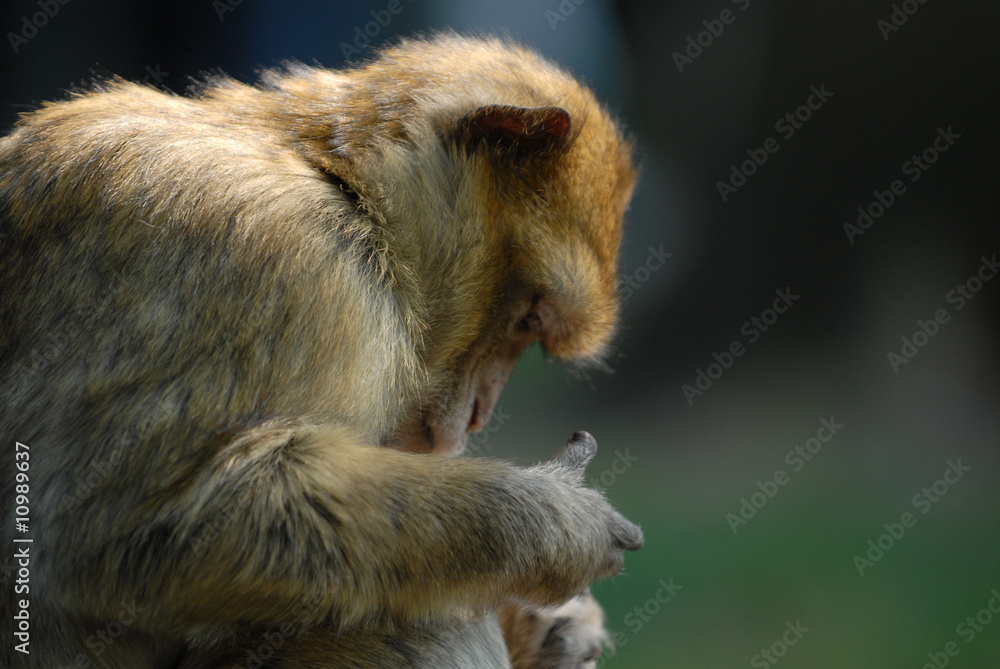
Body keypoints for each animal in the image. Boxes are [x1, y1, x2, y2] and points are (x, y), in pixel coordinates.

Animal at [0, 33, 640, 668]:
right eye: (527, 318)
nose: (480, 413)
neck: (346, 189)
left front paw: (547, 630)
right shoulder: (287, 258)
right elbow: (113, 534)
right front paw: (553, 522)